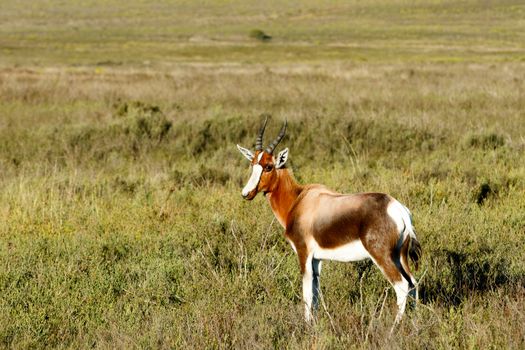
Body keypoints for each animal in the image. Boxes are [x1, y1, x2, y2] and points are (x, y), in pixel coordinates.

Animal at [237, 118, 422, 328]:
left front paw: (307, 326)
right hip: (400, 256)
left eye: (268, 166)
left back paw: (394, 327)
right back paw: (416, 323)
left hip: (382, 255)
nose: (246, 193)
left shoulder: (303, 253)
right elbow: (315, 293)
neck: (300, 199)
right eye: (253, 164)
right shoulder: (317, 259)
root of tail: (398, 209)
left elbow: (307, 293)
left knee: (402, 285)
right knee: (413, 284)